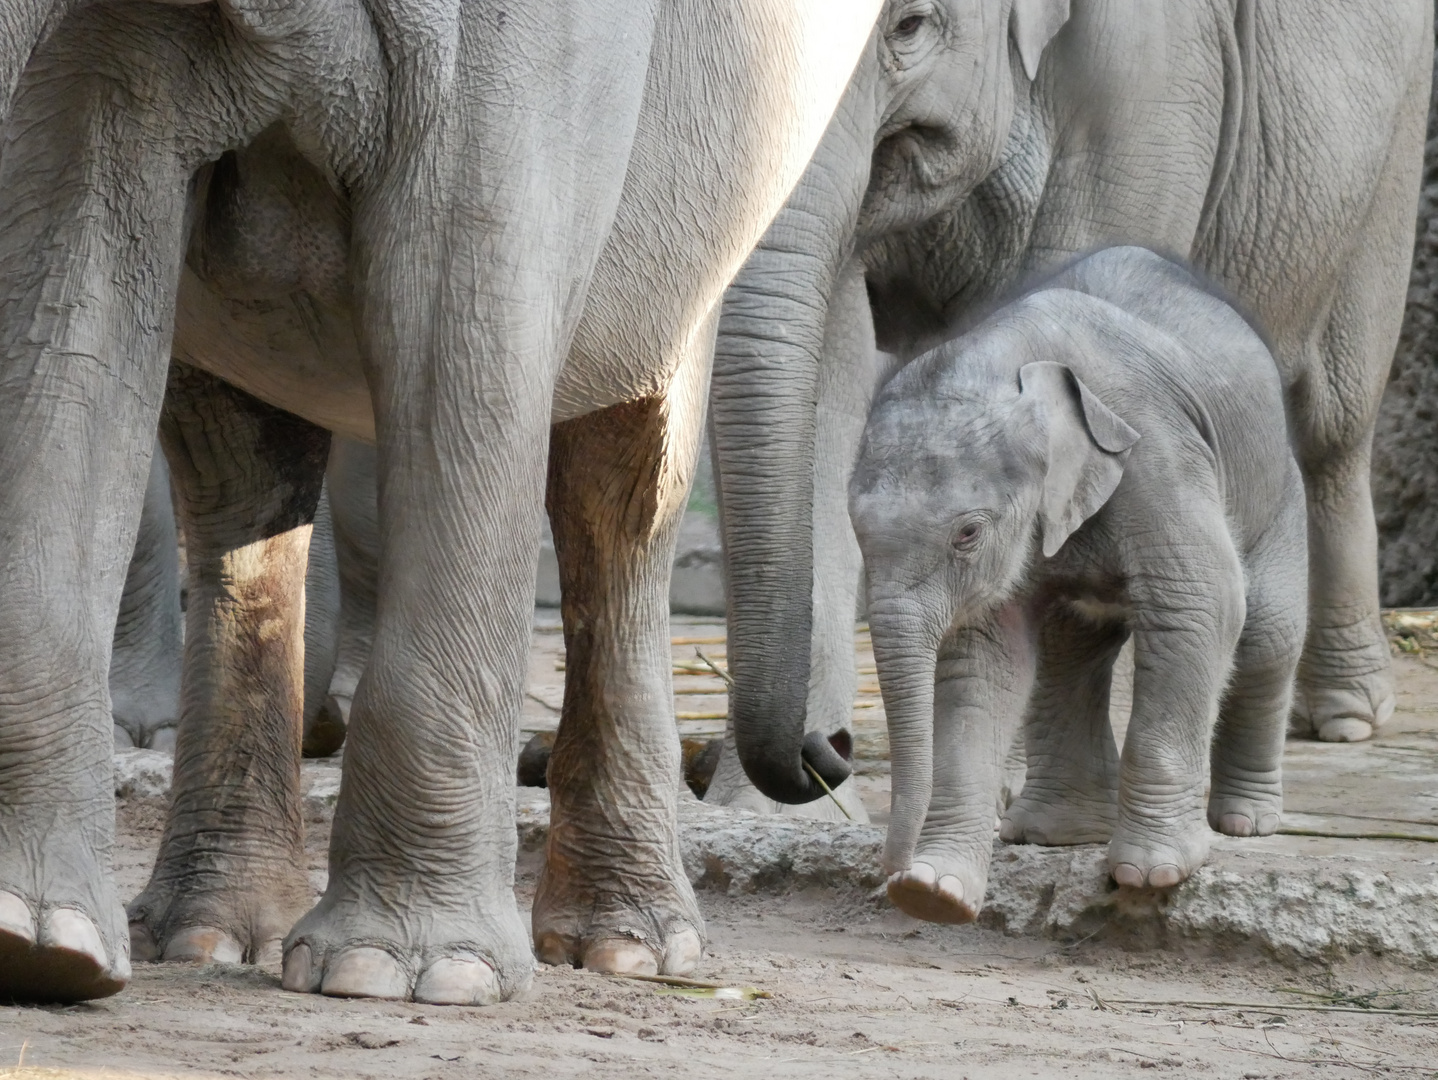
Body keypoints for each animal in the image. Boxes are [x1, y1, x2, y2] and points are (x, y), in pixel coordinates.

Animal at [0, 0, 880, 1006]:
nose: (831, 749)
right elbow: (76, 279)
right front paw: (38, 942)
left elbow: (461, 304)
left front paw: (402, 970)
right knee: (239, 462)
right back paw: (204, 937)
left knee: (622, 479)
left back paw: (630, 949)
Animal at [713, 2, 1432, 828]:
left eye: (911, 26)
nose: (826, 751)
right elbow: (831, 359)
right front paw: (757, 815)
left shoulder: (1152, 73)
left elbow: (1061, 279)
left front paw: (1000, 791)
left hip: (1391, 160)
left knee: (1334, 424)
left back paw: (1343, 716)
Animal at [845, 248, 1311, 926]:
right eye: (854, 528)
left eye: (967, 533)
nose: (889, 873)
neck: (1009, 359)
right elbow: (983, 654)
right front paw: (935, 894)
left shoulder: (1158, 452)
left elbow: (1199, 606)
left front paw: (1152, 875)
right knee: (1071, 653)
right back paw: (1053, 834)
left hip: (1278, 491)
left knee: (1266, 637)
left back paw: (1245, 823)